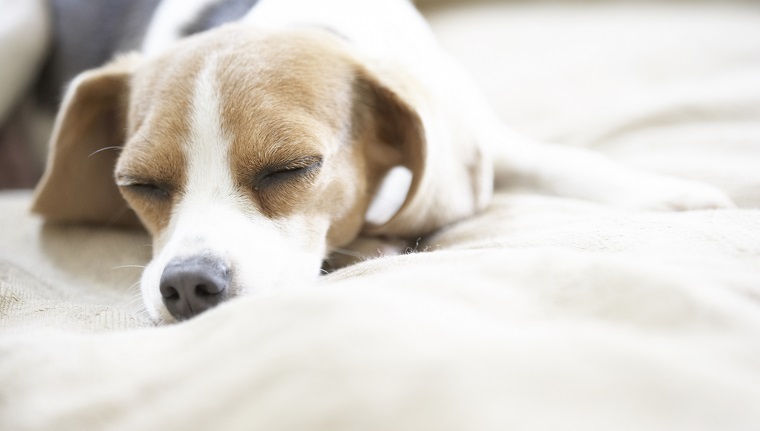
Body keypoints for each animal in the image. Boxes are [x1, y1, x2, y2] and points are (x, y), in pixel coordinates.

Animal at [25, 0, 736, 322]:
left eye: (291, 168)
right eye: (137, 184)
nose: (188, 285)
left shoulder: (468, 129)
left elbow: (554, 159)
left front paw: (668, 195)